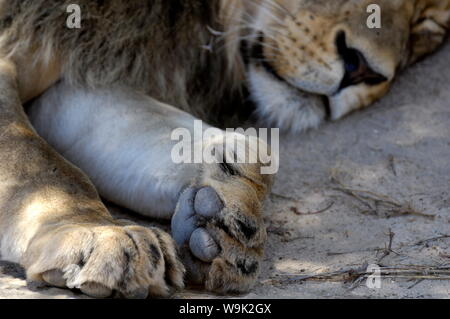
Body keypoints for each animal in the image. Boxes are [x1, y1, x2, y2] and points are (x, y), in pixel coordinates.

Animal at [0, 0, 446, 300]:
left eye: (425, 28)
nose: (361, 69)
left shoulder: (82, 65)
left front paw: (218, 216)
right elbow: (38, 162)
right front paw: (97, 234)